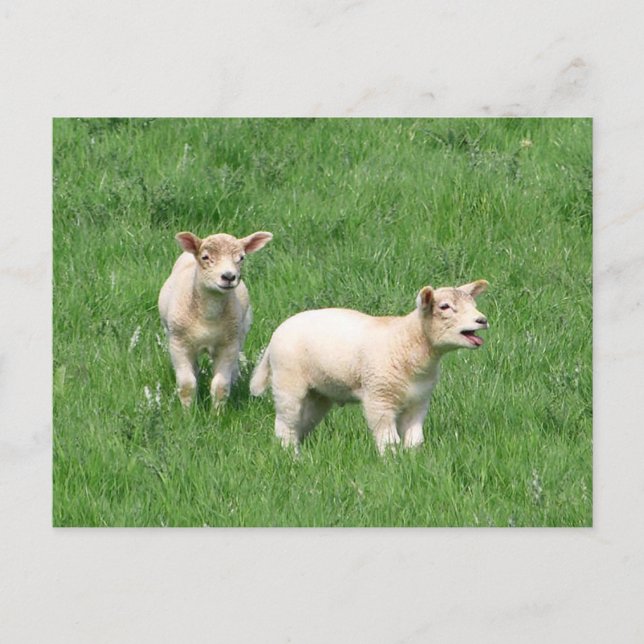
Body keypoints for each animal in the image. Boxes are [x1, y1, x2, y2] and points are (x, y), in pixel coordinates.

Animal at [159, 230, 272, 408]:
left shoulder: (228, 346)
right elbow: (186, 384)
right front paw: (188, 411)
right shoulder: (178, 344)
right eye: (205, 257)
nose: (229, 276)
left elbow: (220, 385)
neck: (208, 315)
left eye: (241, 258)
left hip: (240, 333)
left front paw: (217, 412)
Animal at [250, 280, 489, 454]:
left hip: (319, 393)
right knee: (286, 424)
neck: (407, 342)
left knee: (303, 421)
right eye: (444, 306)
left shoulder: (419, 400)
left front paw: (413, 460)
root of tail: (275, 335)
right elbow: (388, 439)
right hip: (287, 381)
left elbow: (414, 438)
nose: (482, 320)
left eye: (474, 305)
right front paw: (391, 462)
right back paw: (292, 456)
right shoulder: (378, 397)